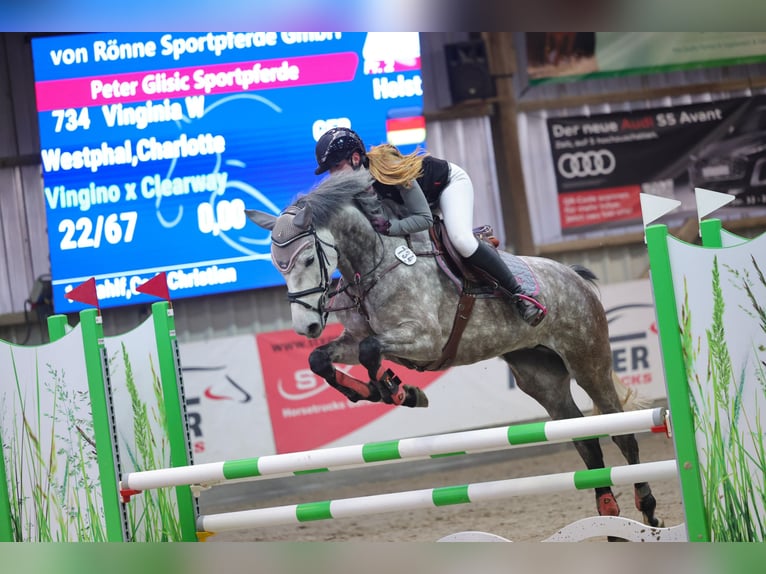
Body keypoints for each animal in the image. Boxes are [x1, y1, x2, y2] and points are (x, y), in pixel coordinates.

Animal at [249, 170, 664, 532]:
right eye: (277, 265)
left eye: (306, 259)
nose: (306, 327)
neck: (375, 263)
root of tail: (575, 276)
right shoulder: (355, 341)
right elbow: (321, 358)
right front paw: (377, 391)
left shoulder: (425, 338)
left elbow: (370, 351)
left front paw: (397, 390)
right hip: (541, 377)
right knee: (585, 440)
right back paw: (608, 515)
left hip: (588, 361)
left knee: (621, 433)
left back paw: (648, 512)